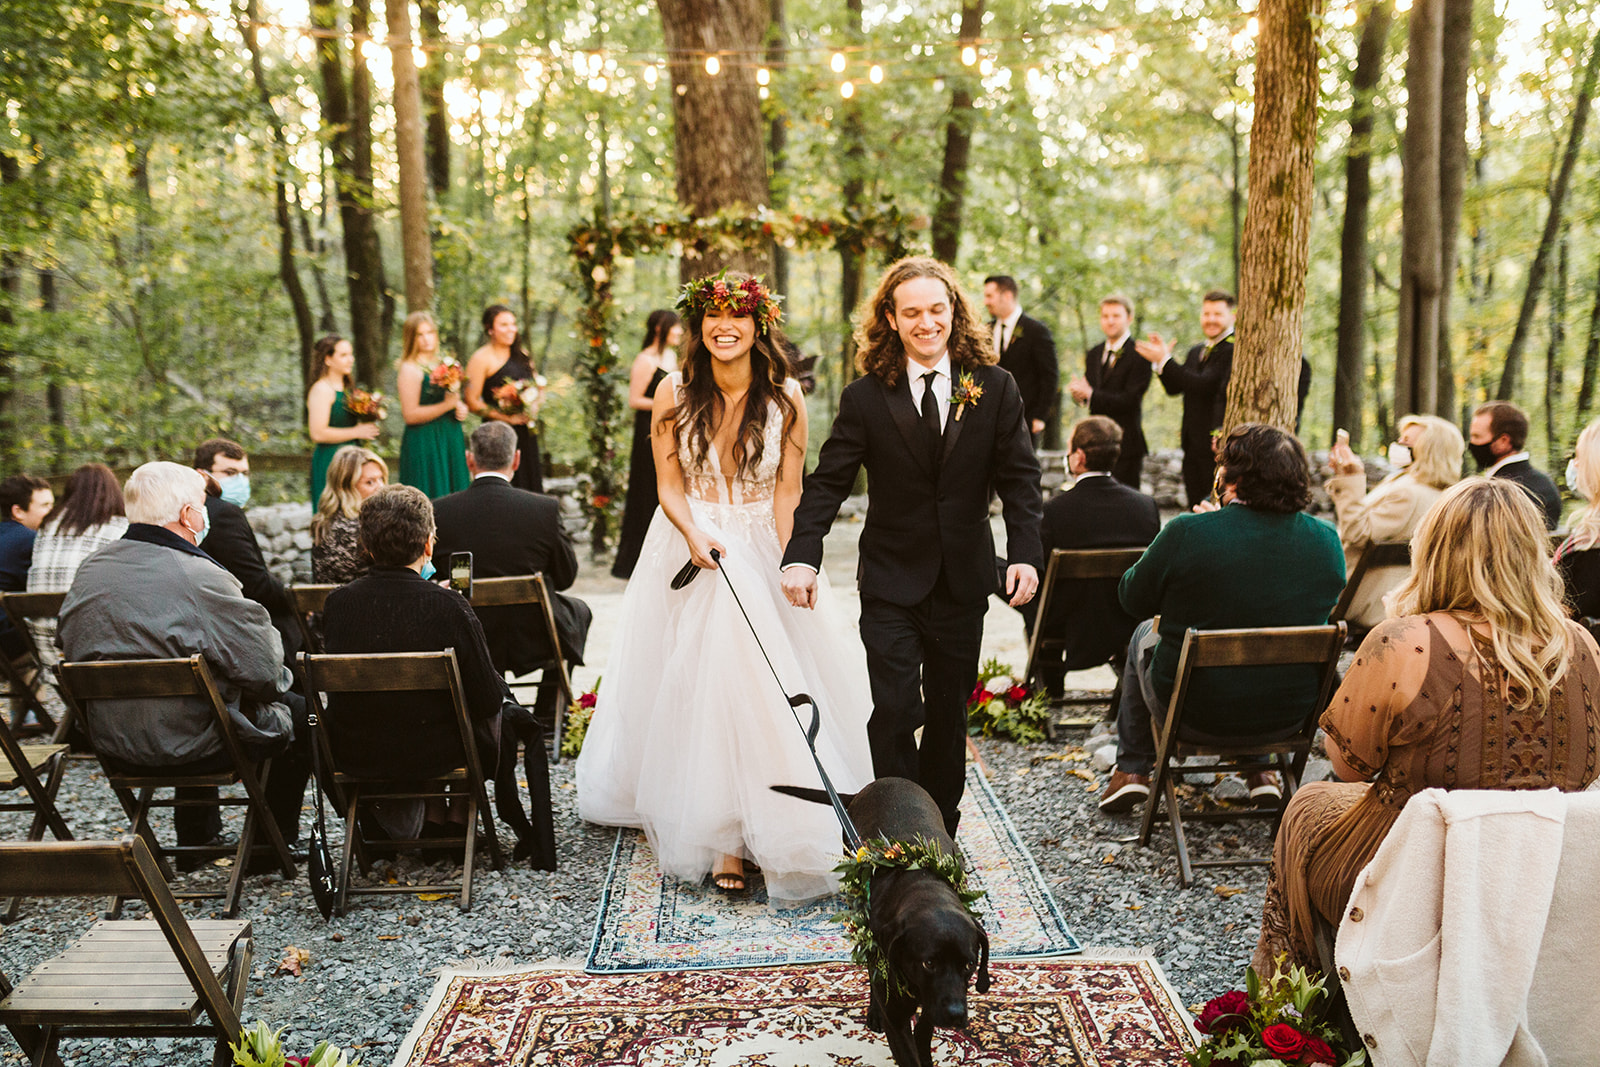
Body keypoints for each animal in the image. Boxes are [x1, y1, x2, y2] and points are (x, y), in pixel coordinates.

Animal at [774, 777, 985, 1067]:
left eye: (969, 964)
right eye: (929, 963)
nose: (955, 1014)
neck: (923, 887)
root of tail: (881, 782)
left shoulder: (933, 1002)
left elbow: (923, 1032)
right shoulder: (896, 1014)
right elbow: (907, 1051)